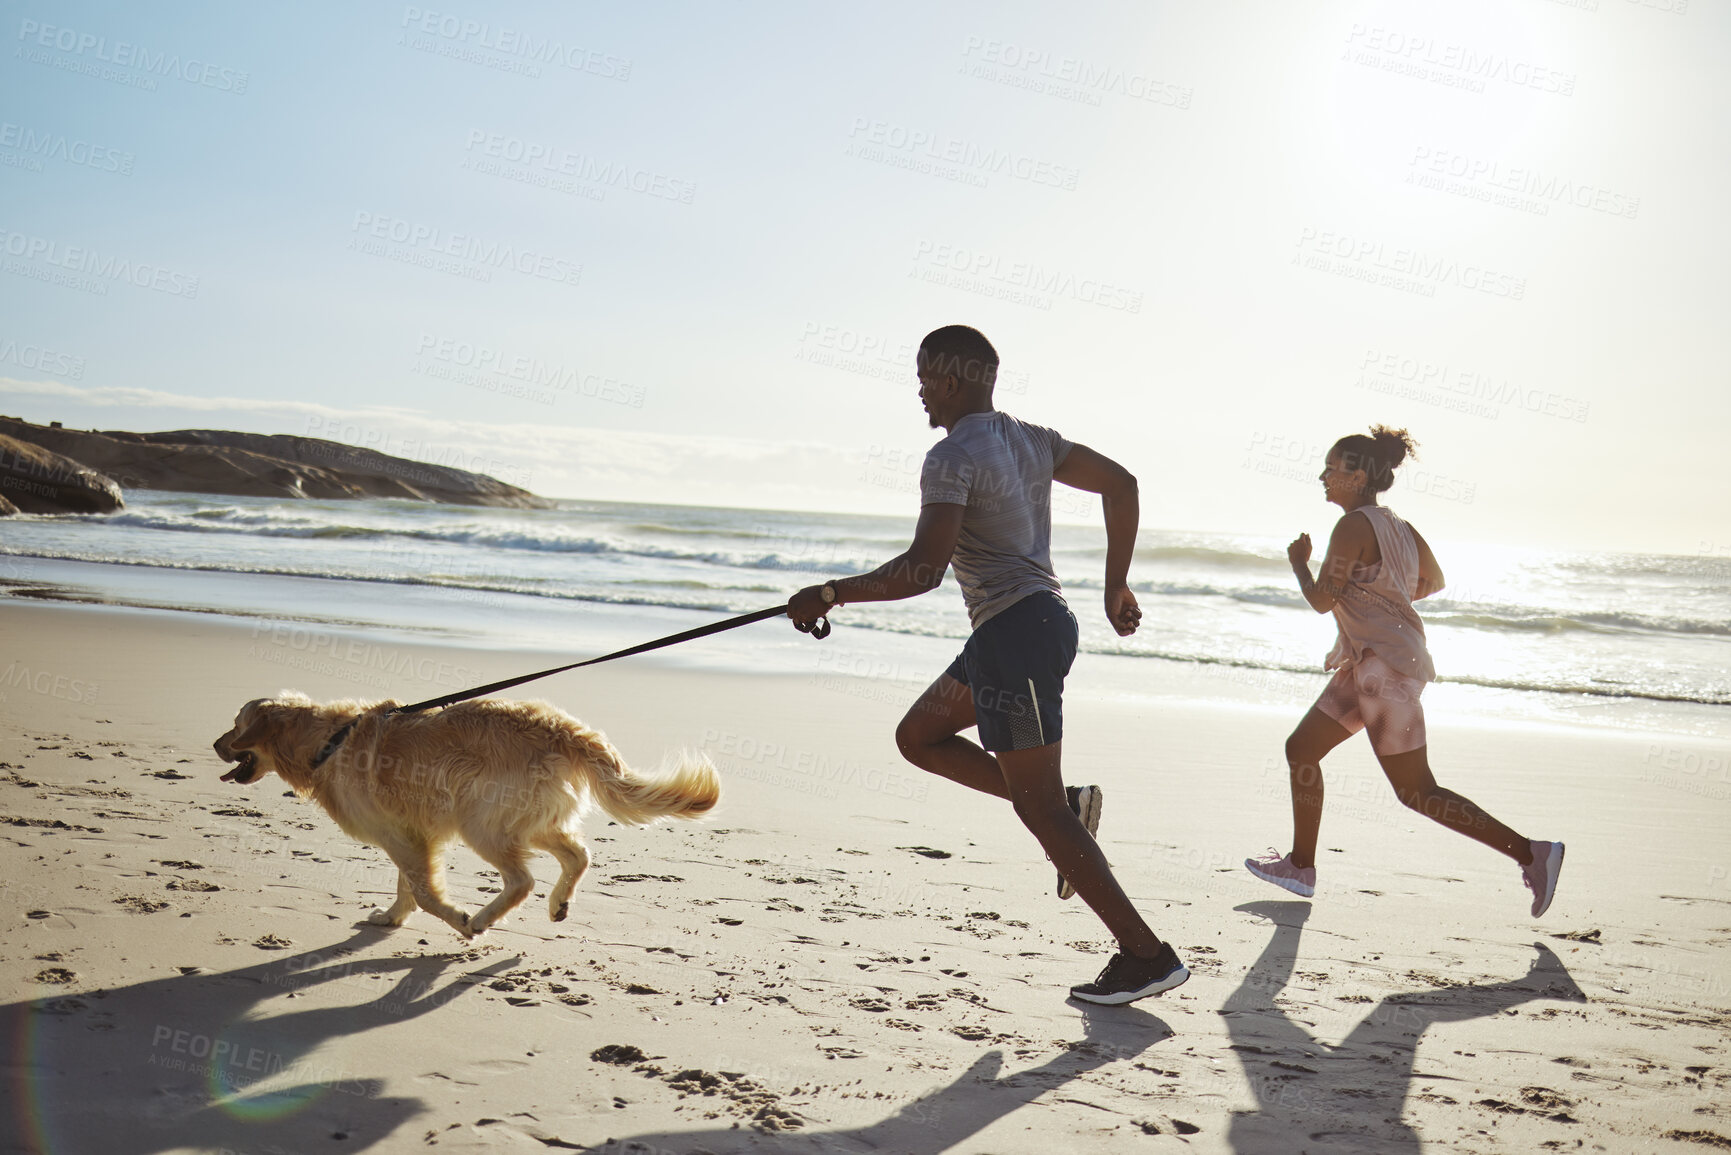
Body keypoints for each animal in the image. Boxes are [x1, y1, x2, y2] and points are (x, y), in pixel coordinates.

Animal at [214, 696, 716, 942]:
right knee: (578, 854)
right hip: (526, 820)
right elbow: (408, 886)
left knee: (523, 880)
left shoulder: (401, 835)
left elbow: (423, 890)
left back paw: (480, 919)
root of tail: (567, 730)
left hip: (482, 822)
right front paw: (393, 917)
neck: (329, 741)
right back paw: (559, 903)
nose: (215, 743)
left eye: (236, 724)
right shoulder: (410, 833)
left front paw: (454, 918)